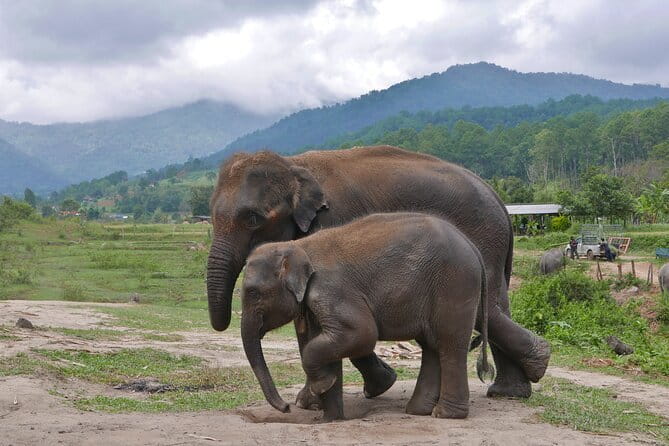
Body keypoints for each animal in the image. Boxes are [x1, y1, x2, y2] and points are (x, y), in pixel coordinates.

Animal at [240, 213, 495, 421]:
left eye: (253, 293)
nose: (285, 407)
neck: (297, 246)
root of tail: (473, 247)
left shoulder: (332, 289)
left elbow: (361, 333)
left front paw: (321, 388)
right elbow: (326, 340)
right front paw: (331, 416)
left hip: (455, 285)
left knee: (449, 344)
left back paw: (444, 414)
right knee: (431, 345)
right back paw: (418, 411)